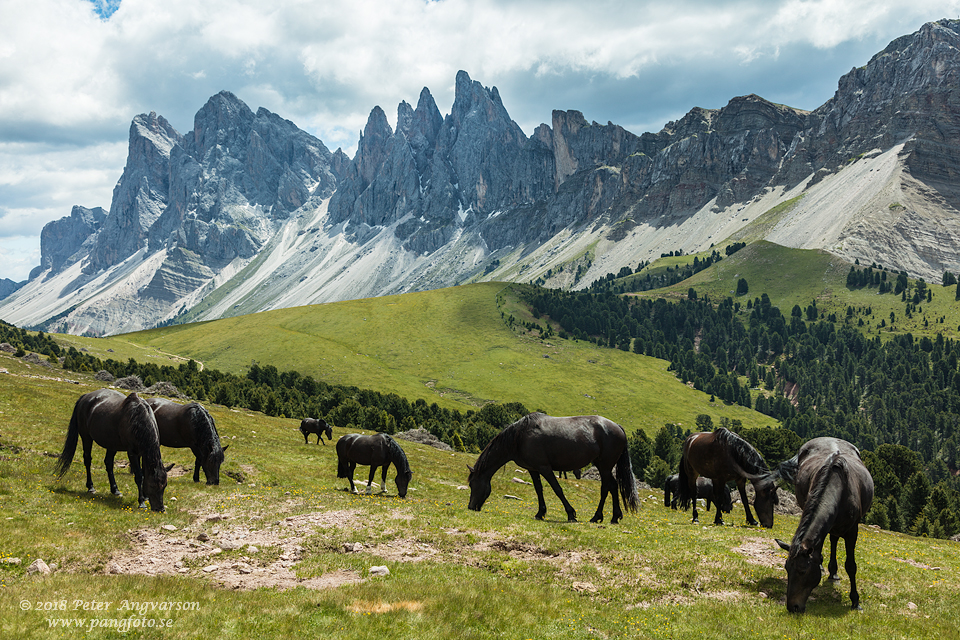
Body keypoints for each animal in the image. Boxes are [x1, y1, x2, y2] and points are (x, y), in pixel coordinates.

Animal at [466, 412, 636, 524]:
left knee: (606, 488)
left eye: (472, 484)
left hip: (605, 466)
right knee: (613, 486)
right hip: (602, 465)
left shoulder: (545, 468)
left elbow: (557, 489)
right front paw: (540, 513)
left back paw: (596, 517)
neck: (520, 437)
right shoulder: (533, 469)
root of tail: (617, 427)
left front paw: (571, 514)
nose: (471, 507)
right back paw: (614, 517)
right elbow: (538, 490)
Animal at [776, 438, 872, 612]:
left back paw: (833, 573)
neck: (839, 487)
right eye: (786, 568)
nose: (793, 607)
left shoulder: (853, 530)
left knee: (834, 540)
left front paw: (855, 601)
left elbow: (851, 566)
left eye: (802, 571)